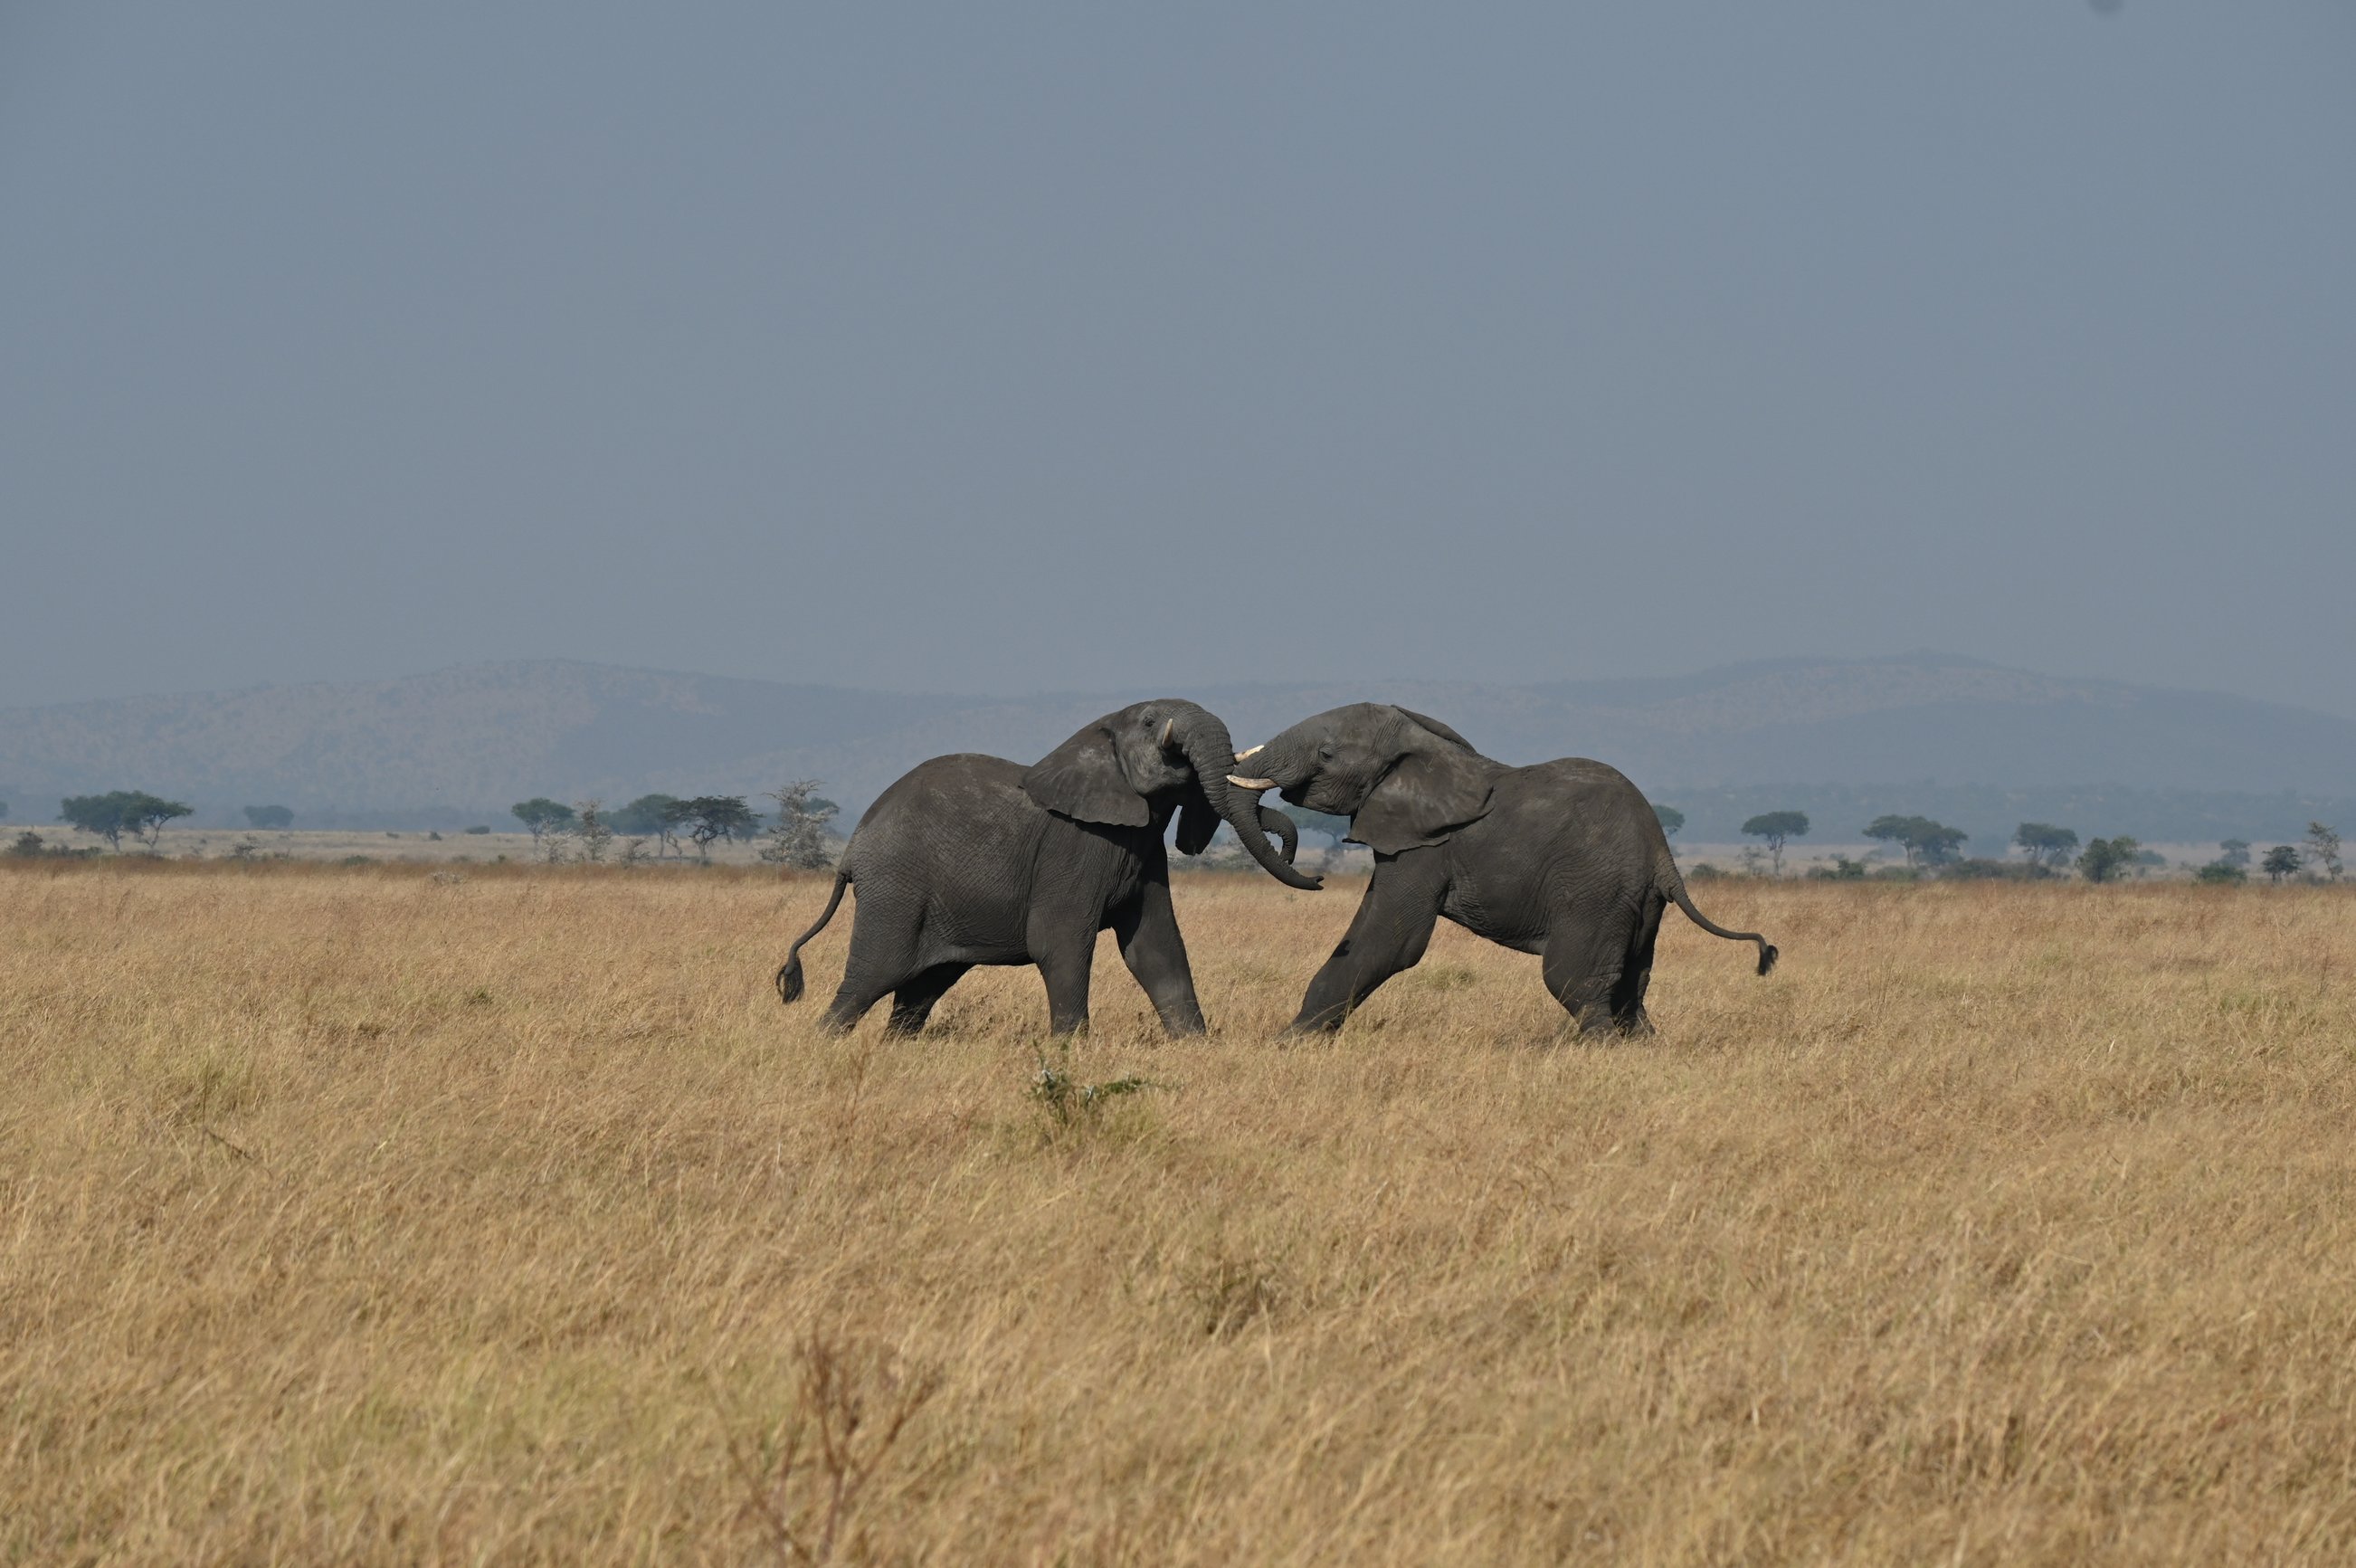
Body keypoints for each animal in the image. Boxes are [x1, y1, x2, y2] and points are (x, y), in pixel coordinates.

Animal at [776, 699, 1320, 1037]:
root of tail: (852, 849)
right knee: (871, 978)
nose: (1314, 875)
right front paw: (1070, 1050)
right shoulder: (1073, 846)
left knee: (919, 991)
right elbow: (1059, 942)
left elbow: (1155, 947)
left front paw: (1195, 1045)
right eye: (1150, 722)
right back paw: (822, 1044)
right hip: (897, 890)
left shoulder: (1144, 853)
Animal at [1224, 703, 1776, 1035]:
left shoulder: (1427, 845)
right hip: (1639, 903)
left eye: (1326, 753)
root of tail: (1662, 852)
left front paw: (1289, 1042)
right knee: (1631, 986)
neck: (1420, 742)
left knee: (1574, 980)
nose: (1313, 877)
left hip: (1594, 891)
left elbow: (1392, 941)